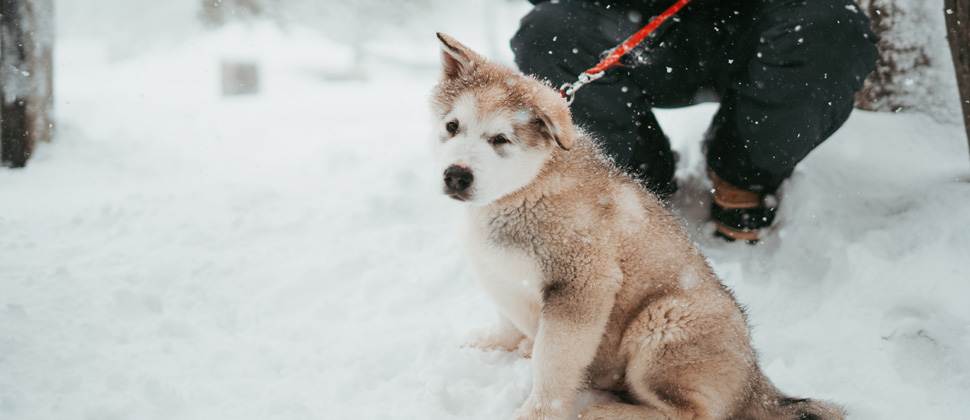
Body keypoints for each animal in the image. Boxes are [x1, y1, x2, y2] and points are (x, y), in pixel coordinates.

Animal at [428, 33, 844, 420]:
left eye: (500, 139)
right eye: (452, 126)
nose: (455, 176)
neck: (525, 189)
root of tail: (755, 383)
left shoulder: (584, 282)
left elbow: (552, 363)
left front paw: (537, 412)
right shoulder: (499, 273)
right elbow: (507, 315)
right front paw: (494, 340)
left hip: (665, 320)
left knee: (693, 412)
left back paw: (604, 410)